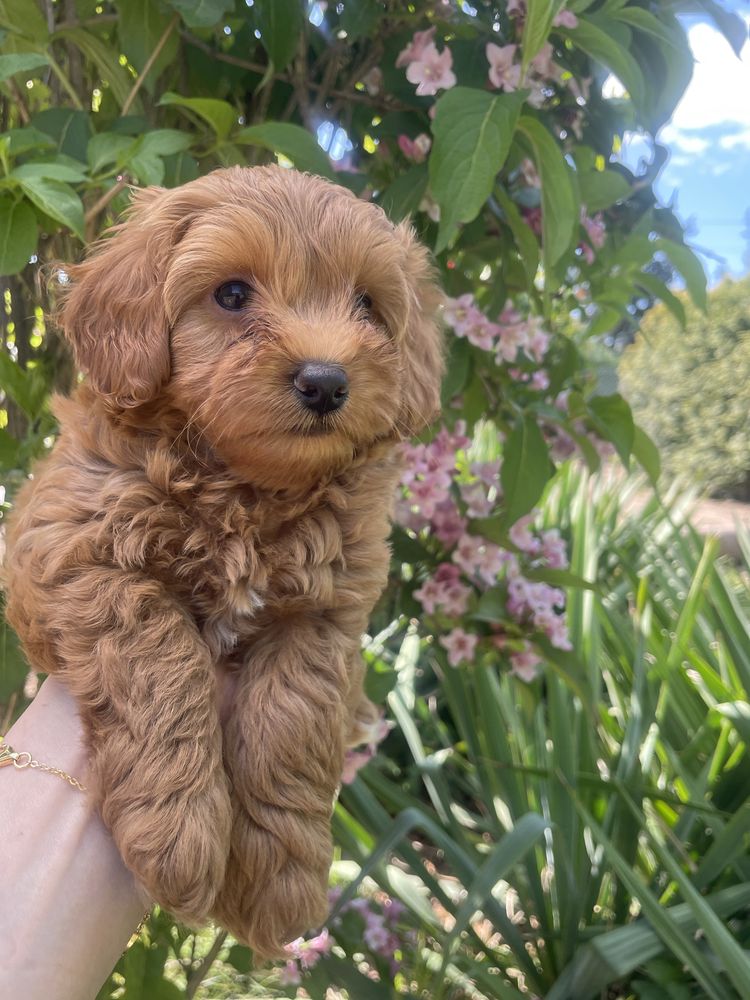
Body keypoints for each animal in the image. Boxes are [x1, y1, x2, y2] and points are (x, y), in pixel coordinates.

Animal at [2, 168, 444, 956]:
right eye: (232, 294)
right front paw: (179, 828)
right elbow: (159, 650)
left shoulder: (327, 611)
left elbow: (294, 717)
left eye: (367, 304)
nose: (326, 380)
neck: (245, 487)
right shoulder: (63, 551)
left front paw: (279, 879)